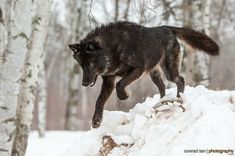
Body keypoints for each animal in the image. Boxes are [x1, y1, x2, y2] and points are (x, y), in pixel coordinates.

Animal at [69, 21, 219, 128]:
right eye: (81, 66)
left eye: (90, 65)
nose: (84, 84)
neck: (112, 48)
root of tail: (167, 28)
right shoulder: (109, 80)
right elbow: (99, 101)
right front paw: (96, 121)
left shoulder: (138, 69)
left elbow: (120, 84)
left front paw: (125, 96)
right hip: (155, 74)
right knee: (162, 87)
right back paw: (162, 102)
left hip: (168, 71)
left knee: (180, 80)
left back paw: (179, 98)